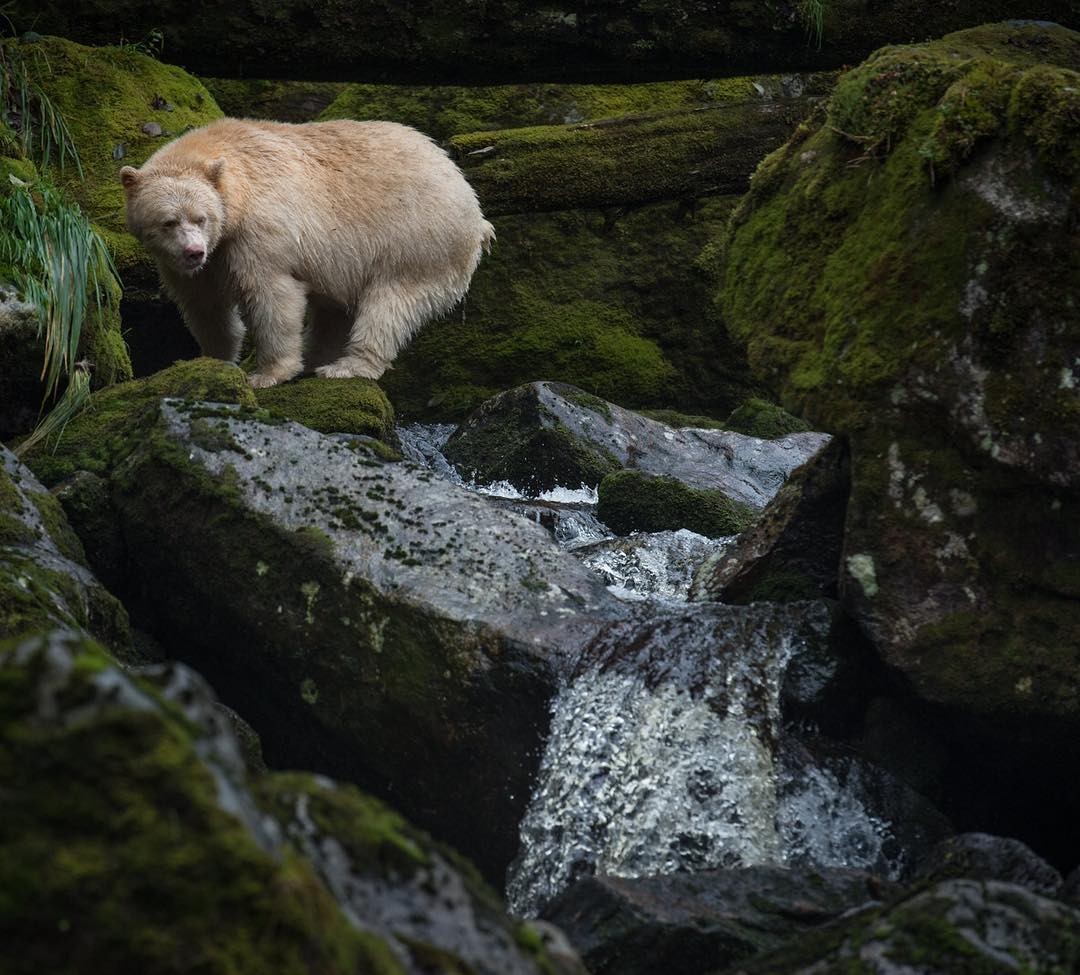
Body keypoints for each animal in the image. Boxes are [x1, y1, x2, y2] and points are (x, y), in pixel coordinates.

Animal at [121, 117, 494, 384]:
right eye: (169, 222)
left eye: (202, 217)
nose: (194, 252)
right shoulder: (195, 262)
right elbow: (205, 306)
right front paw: (215, 359)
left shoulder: (261, 232)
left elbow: (272, 294)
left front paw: (267, 374)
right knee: (335, 310)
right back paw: (317, 358)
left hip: (417, 241)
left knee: (389, 305)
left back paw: (346, 366)